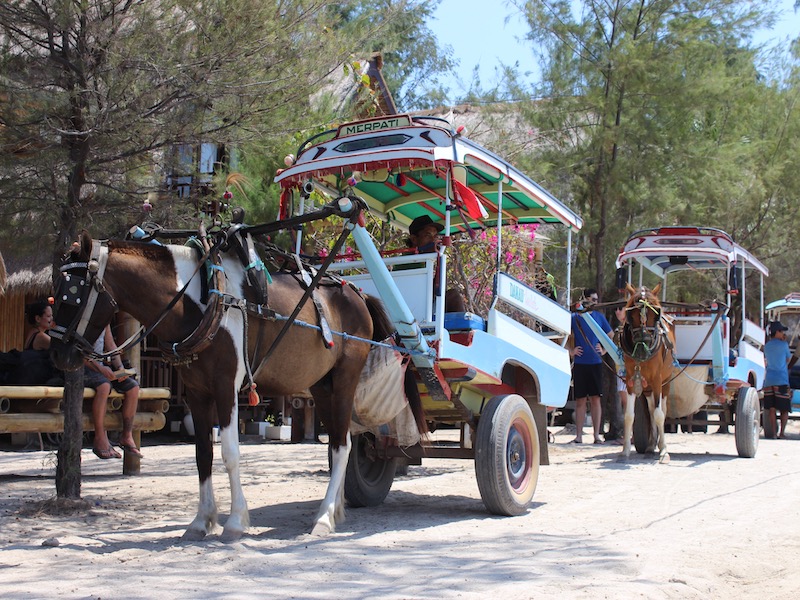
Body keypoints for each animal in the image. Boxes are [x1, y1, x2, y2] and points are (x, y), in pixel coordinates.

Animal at [50, 229, 425, 540]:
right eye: (54, 293)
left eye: (73, 293)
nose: (60, 355)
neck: (200, 298)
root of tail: (357, 292)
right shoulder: (197, 393)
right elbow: (202, 454)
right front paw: (201, 521)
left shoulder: (225, 386)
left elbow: (230, 452)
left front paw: (234, 522)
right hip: (322, 385)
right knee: (338, 444)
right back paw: (335, 510)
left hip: (346, 379)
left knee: (342, 446)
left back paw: (323, 518)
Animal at [619, 283, 676, 463]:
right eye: (631, 313)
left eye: (655, 312)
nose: (643, 340)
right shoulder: (630, 380)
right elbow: (629, 415)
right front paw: (625, 451)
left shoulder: (657, 380)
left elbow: (659, 415)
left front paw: (664, 451)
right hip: (648, 388)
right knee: (650, 410)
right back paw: (651, 445)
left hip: (665, 383)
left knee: (661, 409)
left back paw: (661, 445)